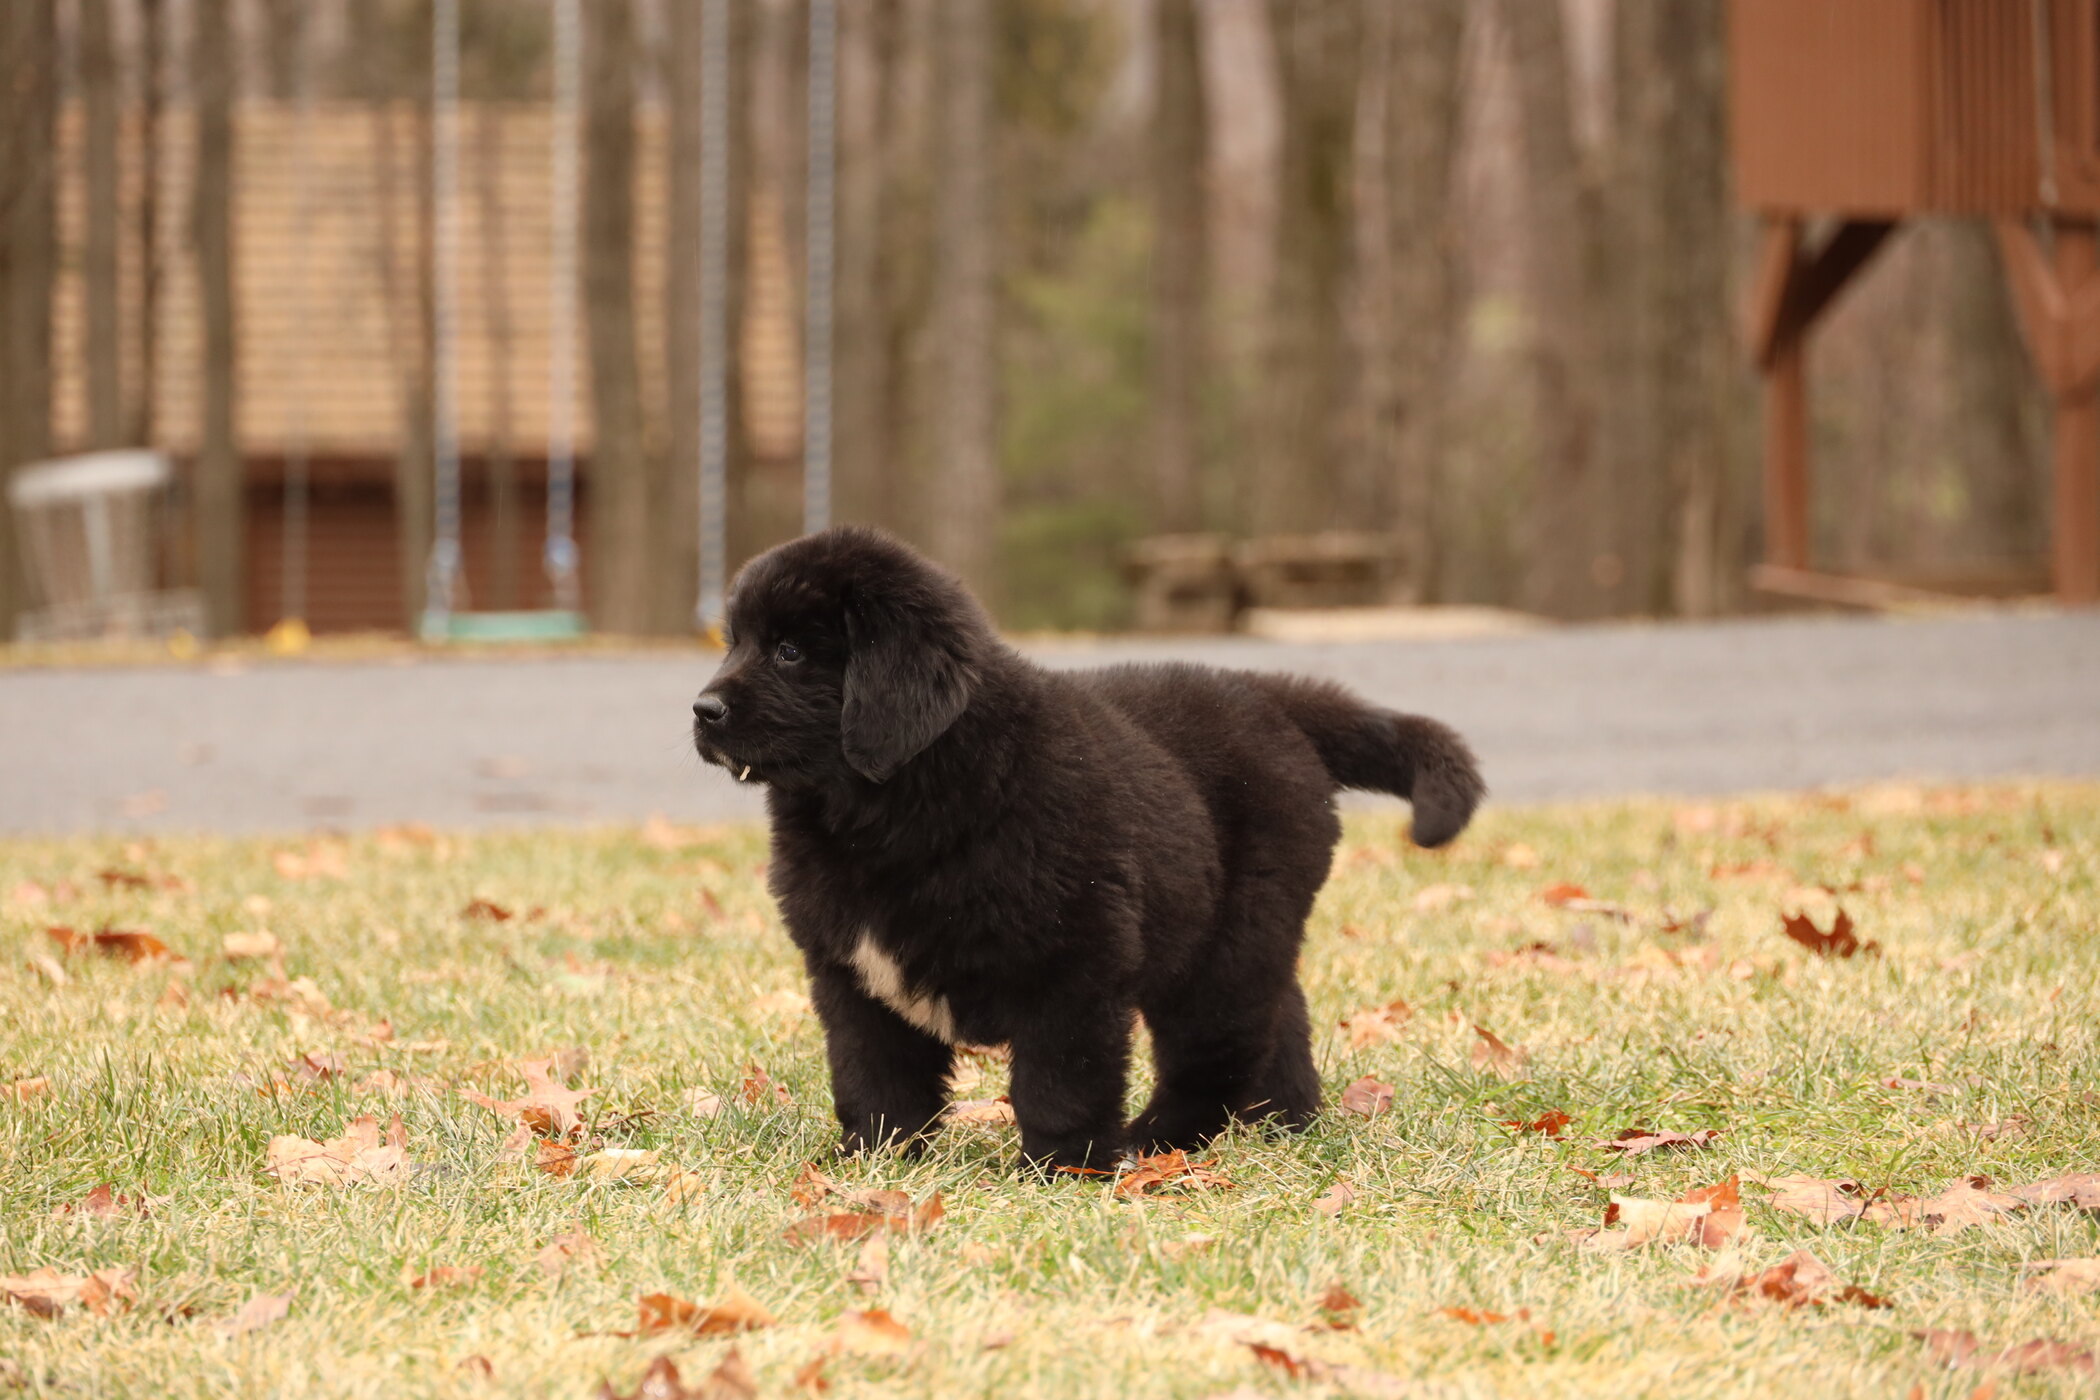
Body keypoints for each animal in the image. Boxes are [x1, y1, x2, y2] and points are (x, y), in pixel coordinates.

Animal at [692, 527, 1483, 1171]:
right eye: (734, 641)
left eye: (791, 651)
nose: (702, 710)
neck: (883, 811)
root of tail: (1270, 697)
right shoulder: (850, 975)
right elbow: (876, 1074)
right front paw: (874, 1161)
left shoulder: (1073, 961)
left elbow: (1059, 1080)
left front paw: (1063, 1168)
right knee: (1278, 1020)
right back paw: (1283, 1123)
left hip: (1227, 942)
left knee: (1219, 1047)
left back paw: (1159, 1139)